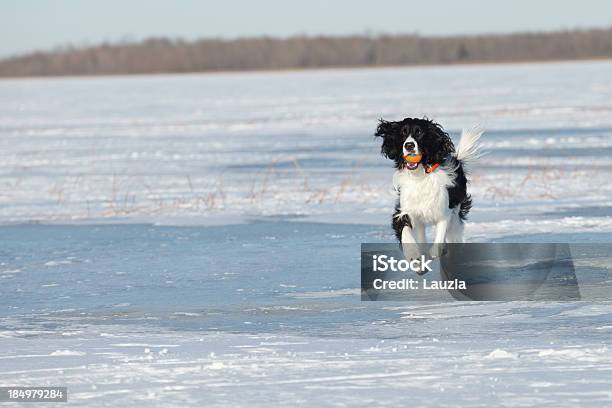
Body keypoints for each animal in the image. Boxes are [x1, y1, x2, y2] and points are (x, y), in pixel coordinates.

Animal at [372, 116, 482, 256]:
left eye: (419, 132)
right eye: (403, 132)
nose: (409, 145)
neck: (420, 176)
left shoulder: (444, 212)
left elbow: (440, 237)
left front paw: (435, 253)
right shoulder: (405, 210)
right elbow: (405, 231)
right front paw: (415, 256)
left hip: (456, 214)